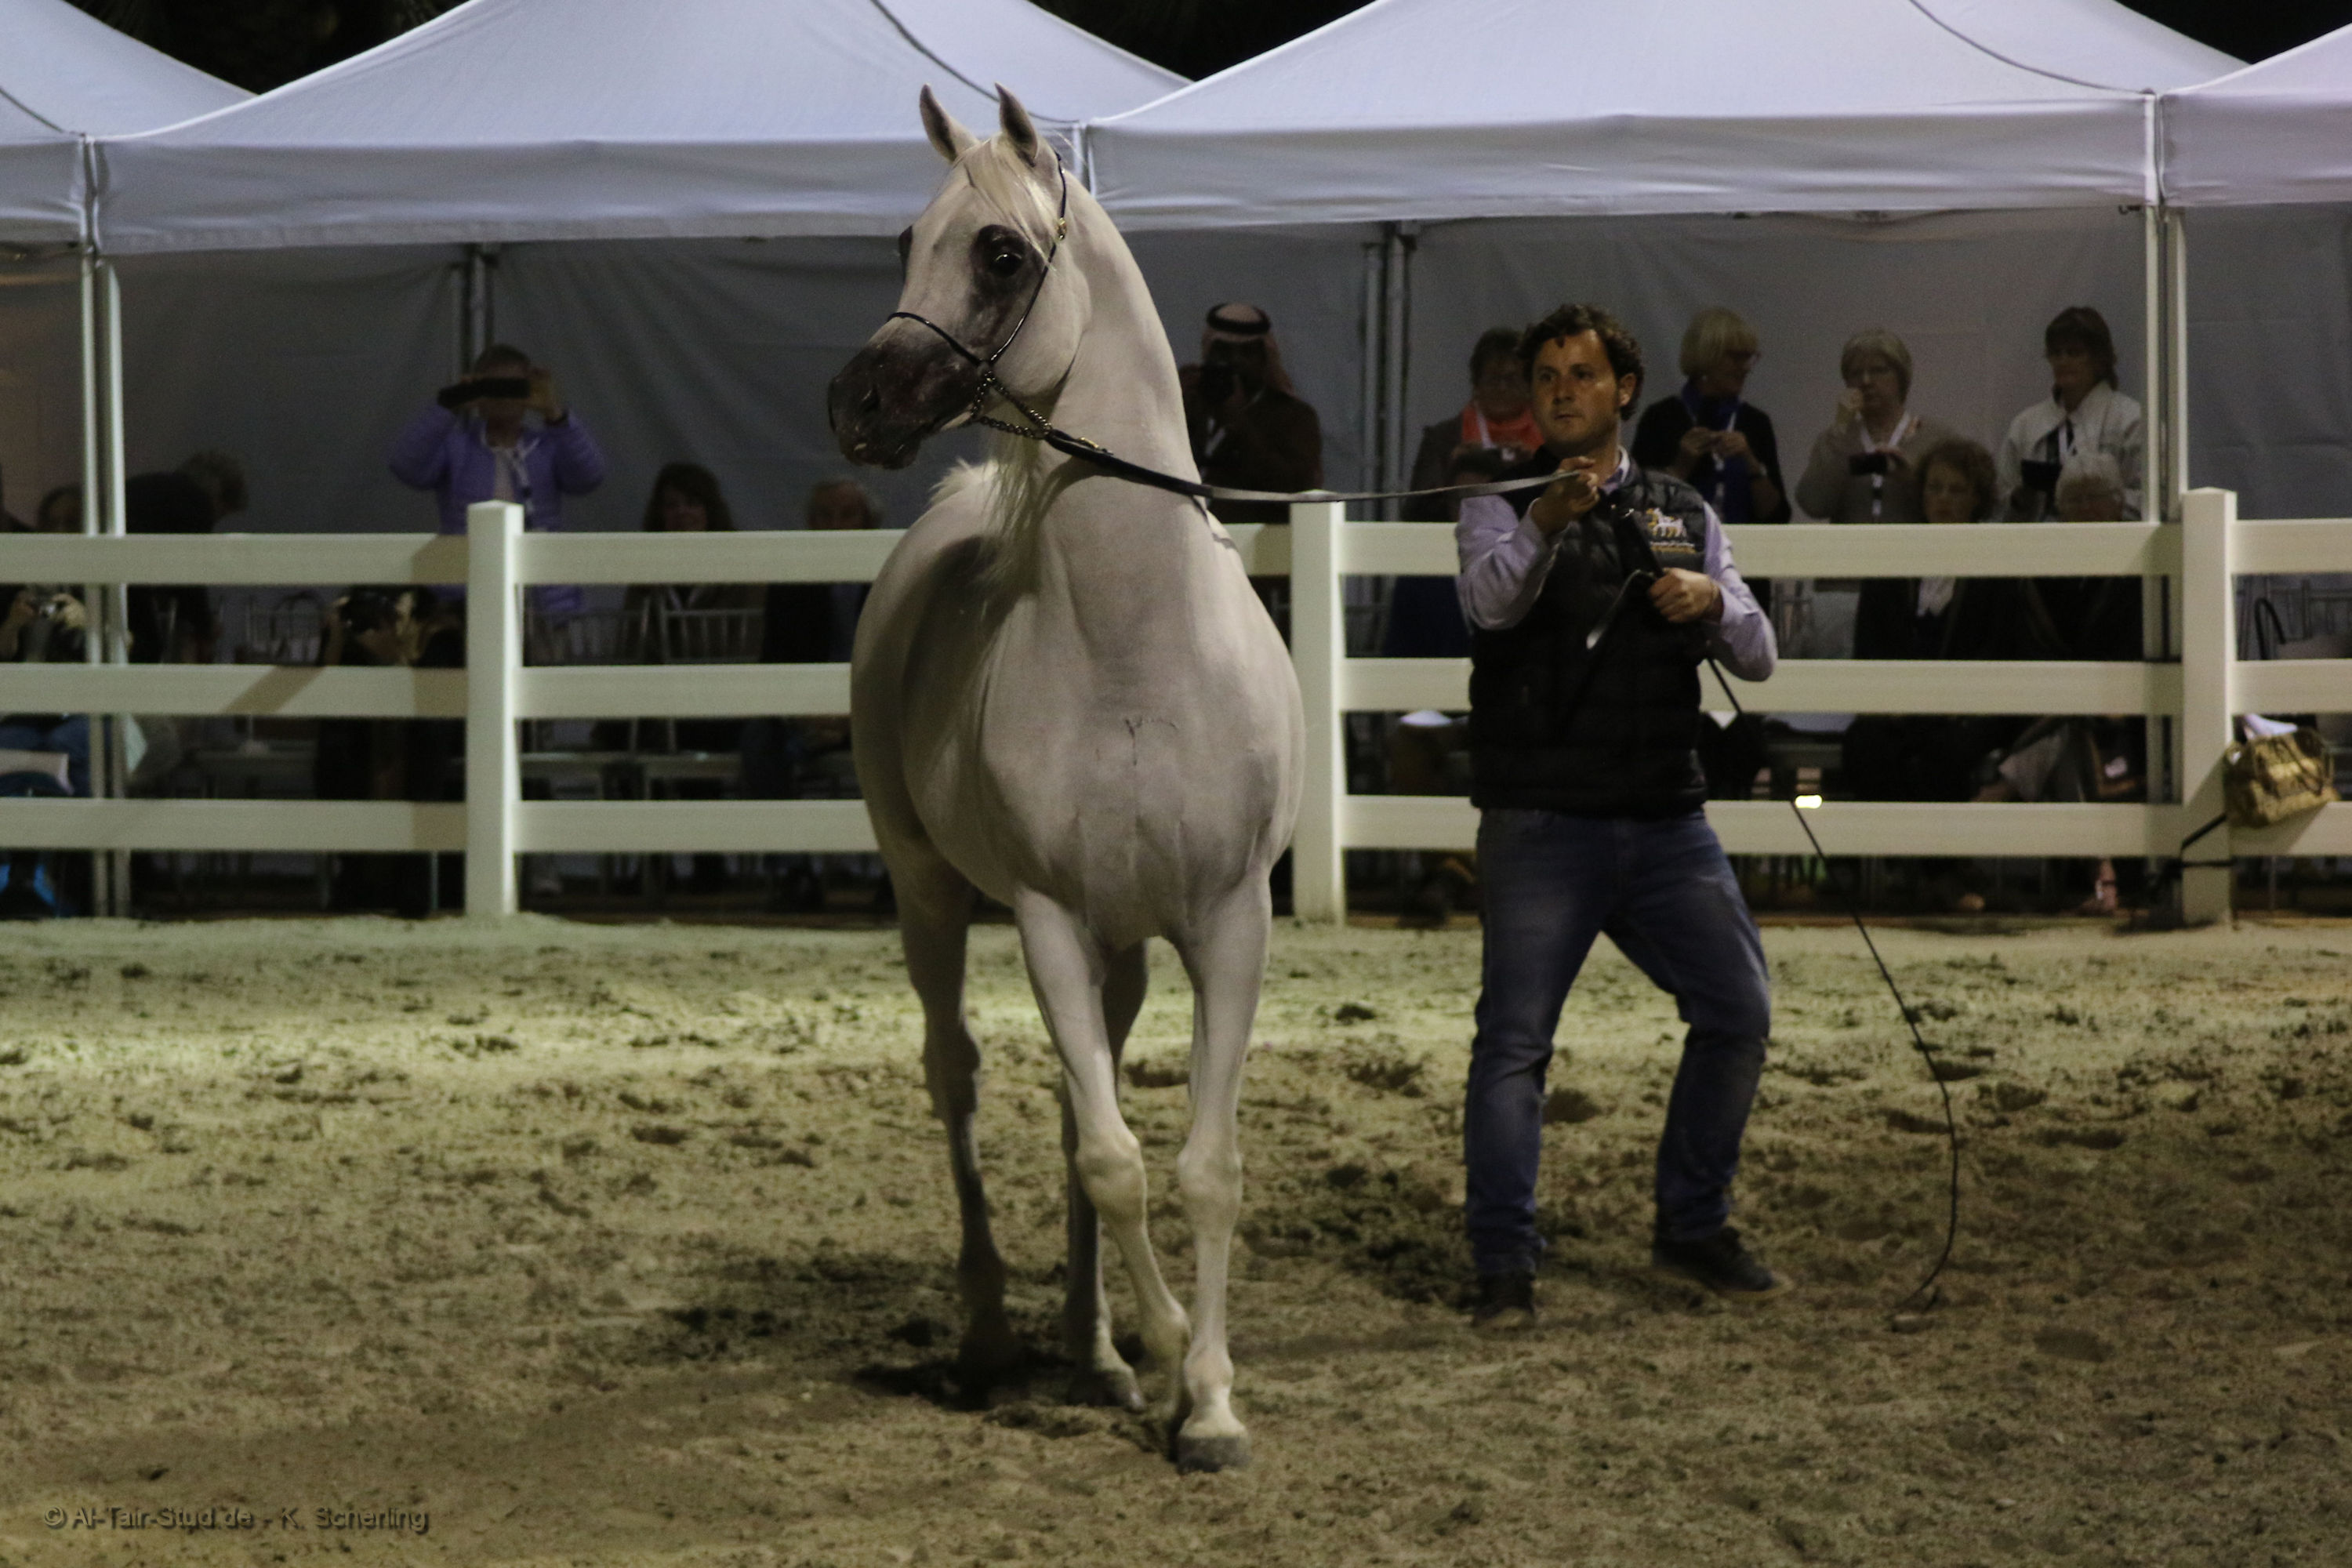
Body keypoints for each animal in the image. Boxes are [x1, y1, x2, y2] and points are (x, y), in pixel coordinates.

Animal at [827, 86, 1303, 1473]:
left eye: (999, 253)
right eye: (904, 240)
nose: (856, 401)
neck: (1140, 652)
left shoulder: (1226, 923)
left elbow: (1200, 1164)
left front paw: (1206, 1401)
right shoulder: (1042, 920)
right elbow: (1114, 1161)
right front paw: (1171, 1350)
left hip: (1123, 946)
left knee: (1055, 1103)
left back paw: (1093, 1352)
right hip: (931, 897)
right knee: (961, 1080)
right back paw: (997, 1331)